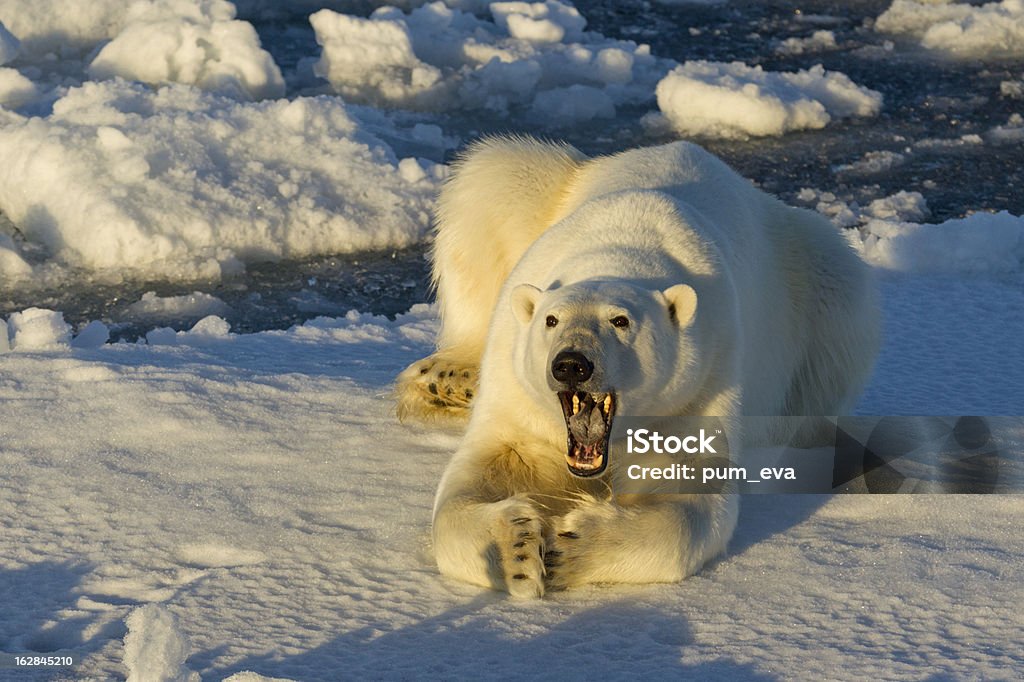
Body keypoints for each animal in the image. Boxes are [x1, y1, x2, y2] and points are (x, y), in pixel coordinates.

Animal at [397, 134, 880, 593]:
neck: (623, 245)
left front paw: (569, 545)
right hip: (536, 191)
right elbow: (487, 467)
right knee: (488, 183)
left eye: (620, 320)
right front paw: (515, 547)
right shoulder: (517, 387)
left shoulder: (698, 384)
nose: (571, 365)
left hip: (814, 278)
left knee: (839, 315)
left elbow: (691, 497)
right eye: (552, 320)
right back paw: (448, 379)